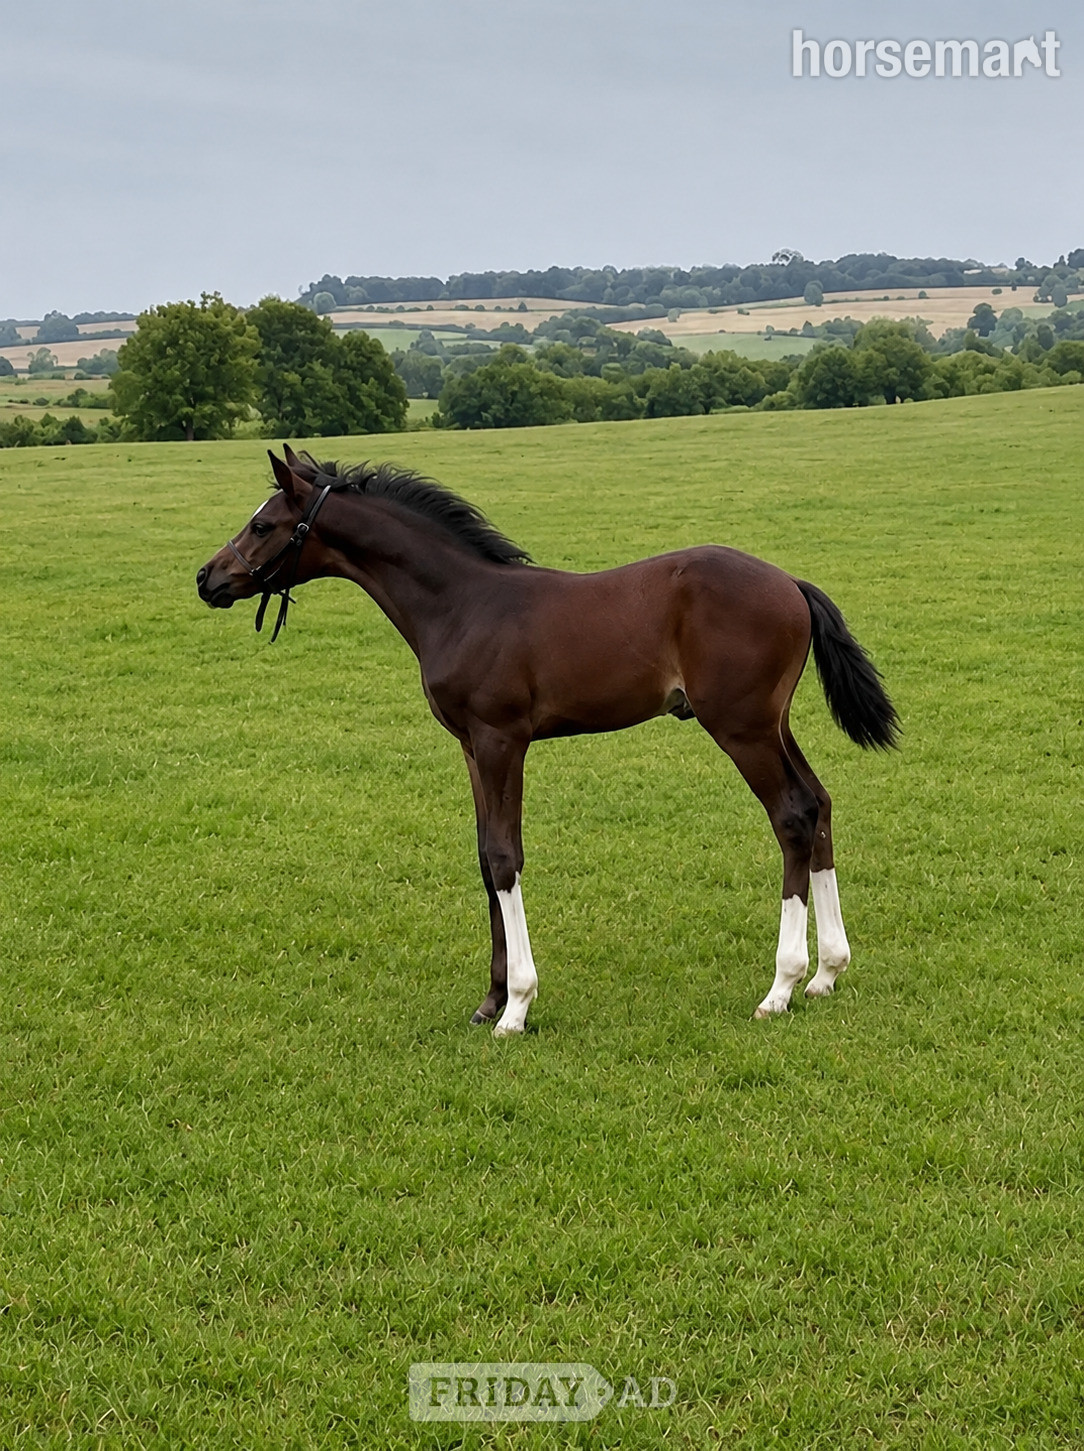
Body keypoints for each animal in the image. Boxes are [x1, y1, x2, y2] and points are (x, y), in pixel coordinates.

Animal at [197, 446, 898, 1035]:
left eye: (264, 526)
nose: (207, 578)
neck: (463, 604)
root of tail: (791, 585)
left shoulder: (502, 740)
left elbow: (506, 857)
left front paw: (517, 1007)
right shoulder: (470, 748)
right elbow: (484, 858)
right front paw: (489, 1000)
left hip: (741, 727)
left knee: (792, 816)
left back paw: (781, 987)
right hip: (773, 723)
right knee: (820, 804)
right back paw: (827, 972)